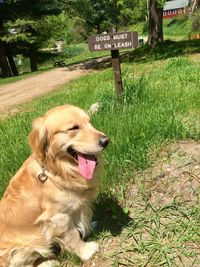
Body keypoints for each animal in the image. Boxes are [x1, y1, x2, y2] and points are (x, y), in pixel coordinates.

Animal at [0, 105, 108, 267]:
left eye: (90, 122)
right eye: (73, 128)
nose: (106, 141)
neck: (58, 171)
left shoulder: (75, 206)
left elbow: (80, 220)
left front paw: (89, 228)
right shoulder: (58, 217)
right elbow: (73, 235)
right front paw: (86, 250)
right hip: (24, 247)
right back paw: (49, 261)